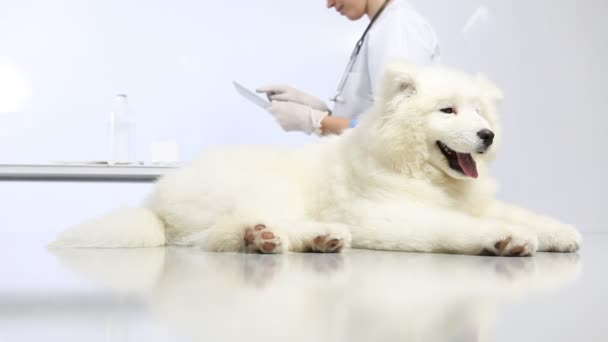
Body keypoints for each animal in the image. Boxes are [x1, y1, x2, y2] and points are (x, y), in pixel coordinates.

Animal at [50, 62, 580, 256]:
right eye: (447, 110)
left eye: (479, 112)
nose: (486, 136)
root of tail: (155, 202)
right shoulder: (383, 214)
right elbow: (453, 226)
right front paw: (505, 239)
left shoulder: (474, 199)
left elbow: (518, 211)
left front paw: (560, 232)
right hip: (261, 188)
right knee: (214, 236)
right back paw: (268, 237)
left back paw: (311, 238)